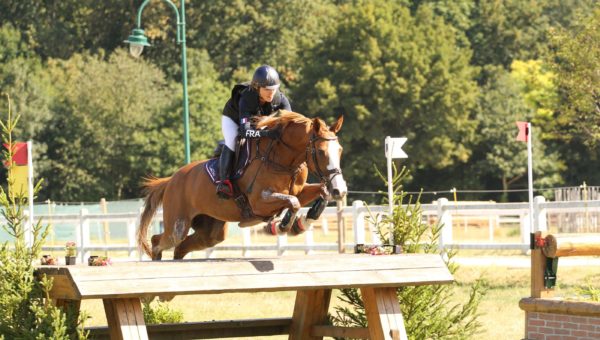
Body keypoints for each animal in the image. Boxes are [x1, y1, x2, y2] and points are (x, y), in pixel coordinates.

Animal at [136, 110, 346, 258]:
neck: (283, 161)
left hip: (210, 231)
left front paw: (303, 222)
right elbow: (292, 202)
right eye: (321, 152)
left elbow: (319, 193)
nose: (341, 190)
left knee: (181, 248)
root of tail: (171, 179)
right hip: (177, 224)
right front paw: (282, 227)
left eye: (340, 150)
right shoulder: (259, 202)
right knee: (159, 241)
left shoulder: (300, 191)